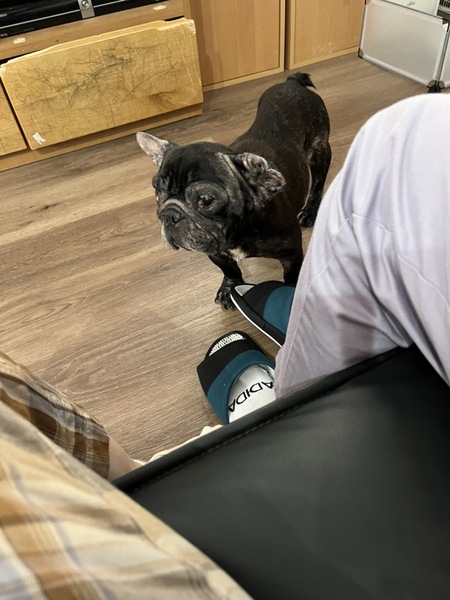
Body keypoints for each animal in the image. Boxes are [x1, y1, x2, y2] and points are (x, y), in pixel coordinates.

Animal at [136, 72, 331, 309]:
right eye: (157, 193)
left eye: (206, 200)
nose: (169, 215)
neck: (238, 231)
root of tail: (292, 82)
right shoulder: (215, 251)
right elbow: (229, 269)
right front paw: (231, 288)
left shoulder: (291, 253)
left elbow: (291, 278)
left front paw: (290, 298)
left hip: (318, 151)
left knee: (318, 181)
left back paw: (310, 211)